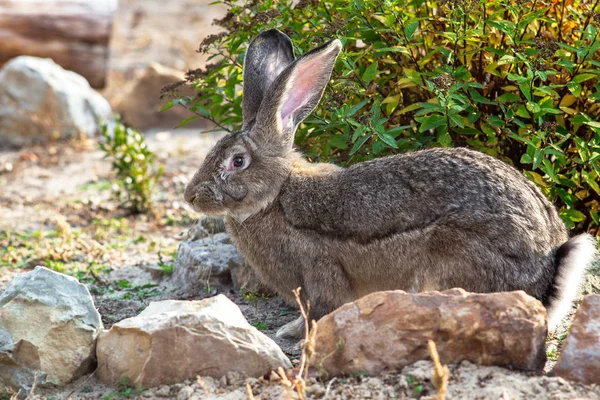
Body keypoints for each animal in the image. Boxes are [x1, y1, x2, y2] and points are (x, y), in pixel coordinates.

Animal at [185, 29, 596, 340]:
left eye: (237, 161)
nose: (192, 197)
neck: (277, 194)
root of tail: (546, 275)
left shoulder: (319, 271)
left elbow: (319, 310)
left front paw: (296, 336)